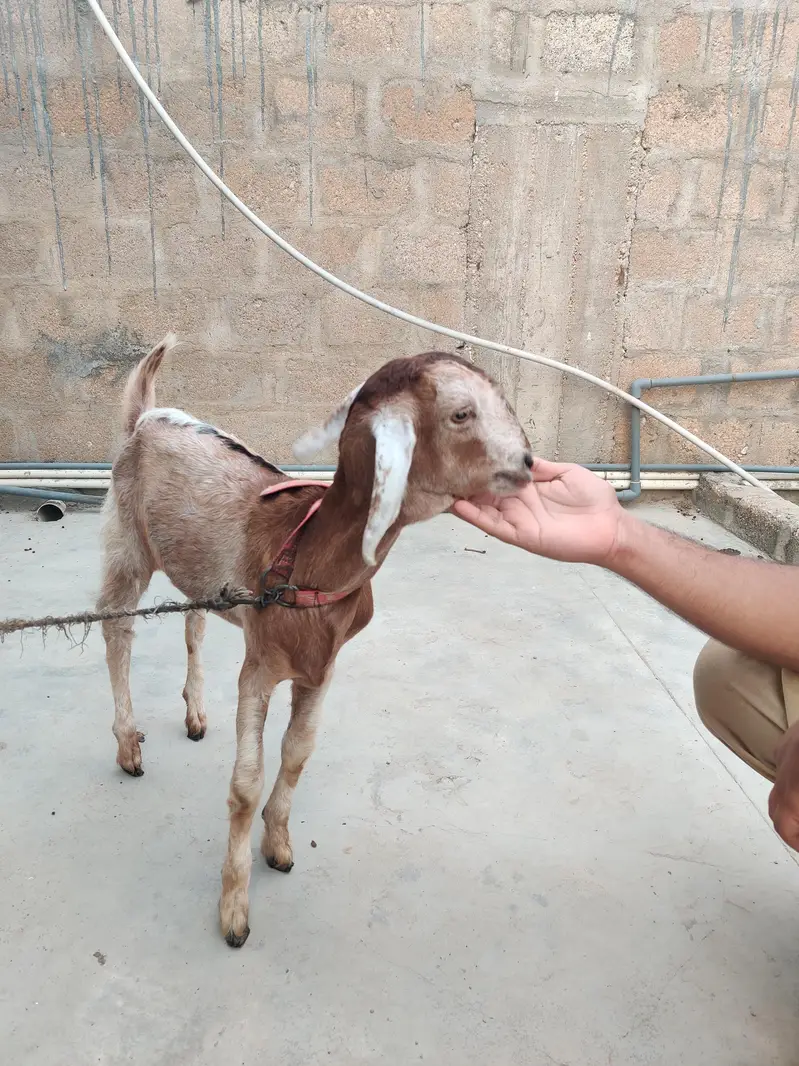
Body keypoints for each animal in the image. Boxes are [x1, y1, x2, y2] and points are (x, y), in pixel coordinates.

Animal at [99, 335, 533, 947]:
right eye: (461, 414)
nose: (529, 465)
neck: (304, 555)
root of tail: (144, 417)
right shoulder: (258, 667)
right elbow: (246, 783)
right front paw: (234, 909)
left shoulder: (322, 667)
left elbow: (299, 751)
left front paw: (278, 843)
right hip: (127, 540)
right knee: (116, 627)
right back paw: (127, 746)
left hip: (197, 568)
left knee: (193, 621)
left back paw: (195, 713)